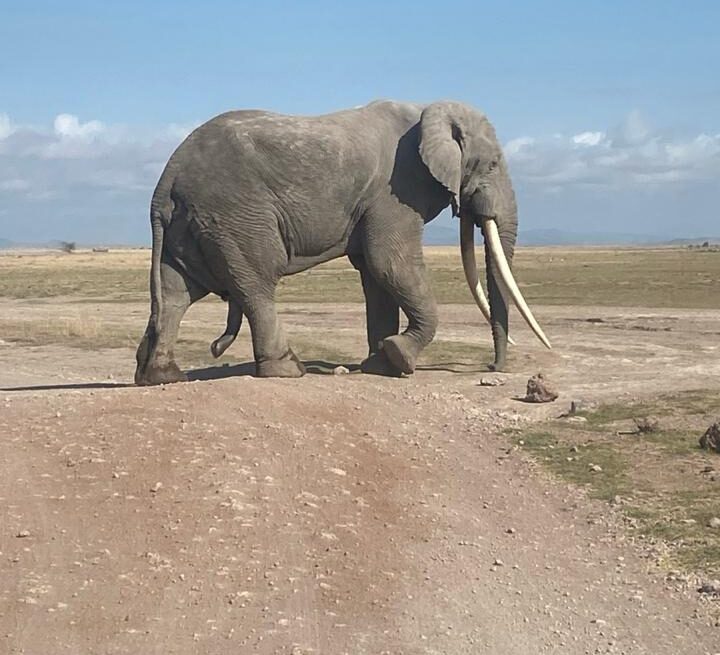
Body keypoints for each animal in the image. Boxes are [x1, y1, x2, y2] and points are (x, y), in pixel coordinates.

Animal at [134, 100, 550, 385]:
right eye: (492, 164)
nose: (492, 367)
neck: (426, 109)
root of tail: (166, 180)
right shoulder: (396, 192)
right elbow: (389, 262)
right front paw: (400, 358)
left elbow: (375, 275)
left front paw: (380, 365)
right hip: (235, 215)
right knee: (256, 284)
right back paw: (289, 369)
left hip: (190, 224)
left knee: (176, 292)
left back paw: (160, 377)